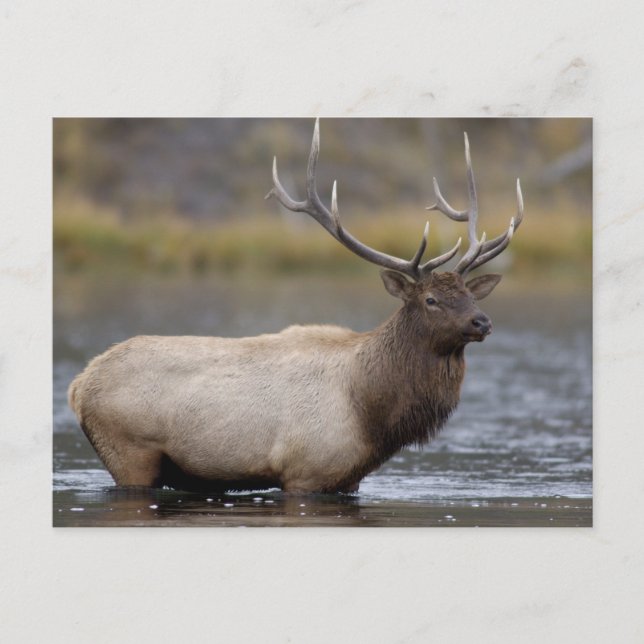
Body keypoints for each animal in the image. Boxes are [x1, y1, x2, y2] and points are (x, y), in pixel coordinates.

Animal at [68, 119, 523, 494]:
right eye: (431, 300)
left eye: (471, 295)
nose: (482, 322)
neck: (369, 412)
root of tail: (79, 385)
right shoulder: (306, 472)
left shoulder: (346, 480)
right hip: (130, 453)